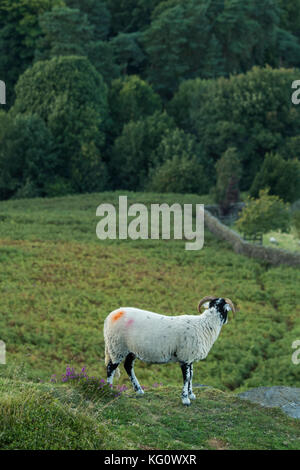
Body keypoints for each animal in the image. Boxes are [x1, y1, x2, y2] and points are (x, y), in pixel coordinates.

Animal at [104, 298, 236, 404]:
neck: (204, 325)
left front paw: (191, 394)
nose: (227, 321)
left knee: (128, 366)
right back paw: (109, 390)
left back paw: (139, 390)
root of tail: (110, 316)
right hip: (117, 347)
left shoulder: (190, 356)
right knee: (111, 368)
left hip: (131, 349)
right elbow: (187, 378)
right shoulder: (185, 357)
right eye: (226, 310)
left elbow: (191, 376)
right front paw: (185, 399)